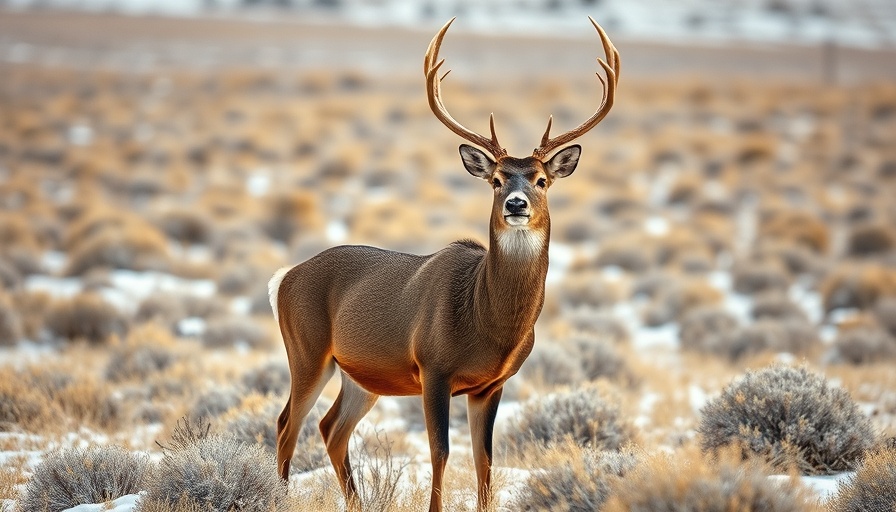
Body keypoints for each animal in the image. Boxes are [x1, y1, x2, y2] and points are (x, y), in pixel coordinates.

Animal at [270, 16, 620, 512]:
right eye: (496, 179)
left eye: (541, 180)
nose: (515, 204)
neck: (486, 321)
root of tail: (285, 277)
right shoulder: (433, 366)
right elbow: (440, 451)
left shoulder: (491, 384)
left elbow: (484, 458)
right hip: (307, 349)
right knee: (288, 423)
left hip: (363, 373)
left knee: (330, 428)